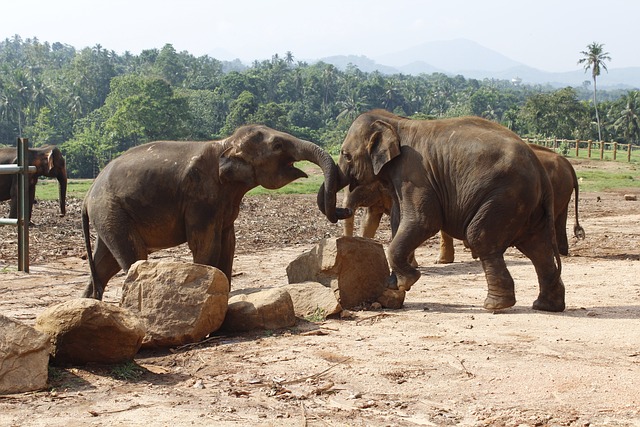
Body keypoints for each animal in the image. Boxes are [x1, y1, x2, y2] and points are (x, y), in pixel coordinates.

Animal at [83, 123, 342, 300]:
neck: (225, 144)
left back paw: (91, 303)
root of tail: (88, 195)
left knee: (105, 264)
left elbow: (229, 243)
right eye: (277, 146)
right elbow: (206, 244)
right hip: (110, 210)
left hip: (109, 216)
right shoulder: (200, 197)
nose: (343, 209)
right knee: (133, 256)